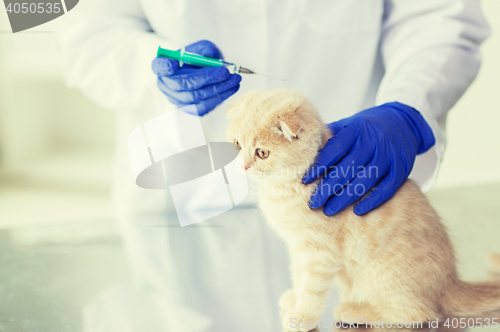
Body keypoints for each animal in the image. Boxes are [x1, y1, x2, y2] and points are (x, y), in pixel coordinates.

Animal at [229, 89, 500, 332]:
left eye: (262, 153)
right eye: (237, 145)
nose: (243, 166)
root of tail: (450, 283)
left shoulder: (319, 253)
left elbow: (312, 287)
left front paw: (303, 315)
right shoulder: (297, 248)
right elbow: (298, 276)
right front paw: (295, 299)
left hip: (385, 278)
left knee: (417, 314)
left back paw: (354, 310)